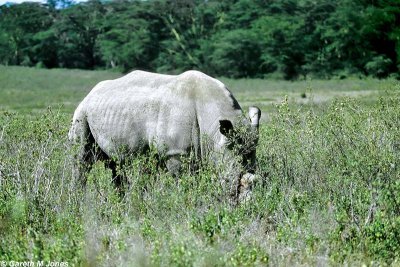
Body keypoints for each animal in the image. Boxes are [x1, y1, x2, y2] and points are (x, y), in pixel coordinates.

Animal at [69, 70, 260, 203]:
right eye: (227, 179)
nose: (243, 205)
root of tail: (91, 92)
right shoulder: (175, 152)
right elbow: (185, 182)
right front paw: (188, 204)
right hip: (82, 112)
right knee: (81, 158)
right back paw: (77, 201)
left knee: (116, 163)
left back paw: (121, 203)